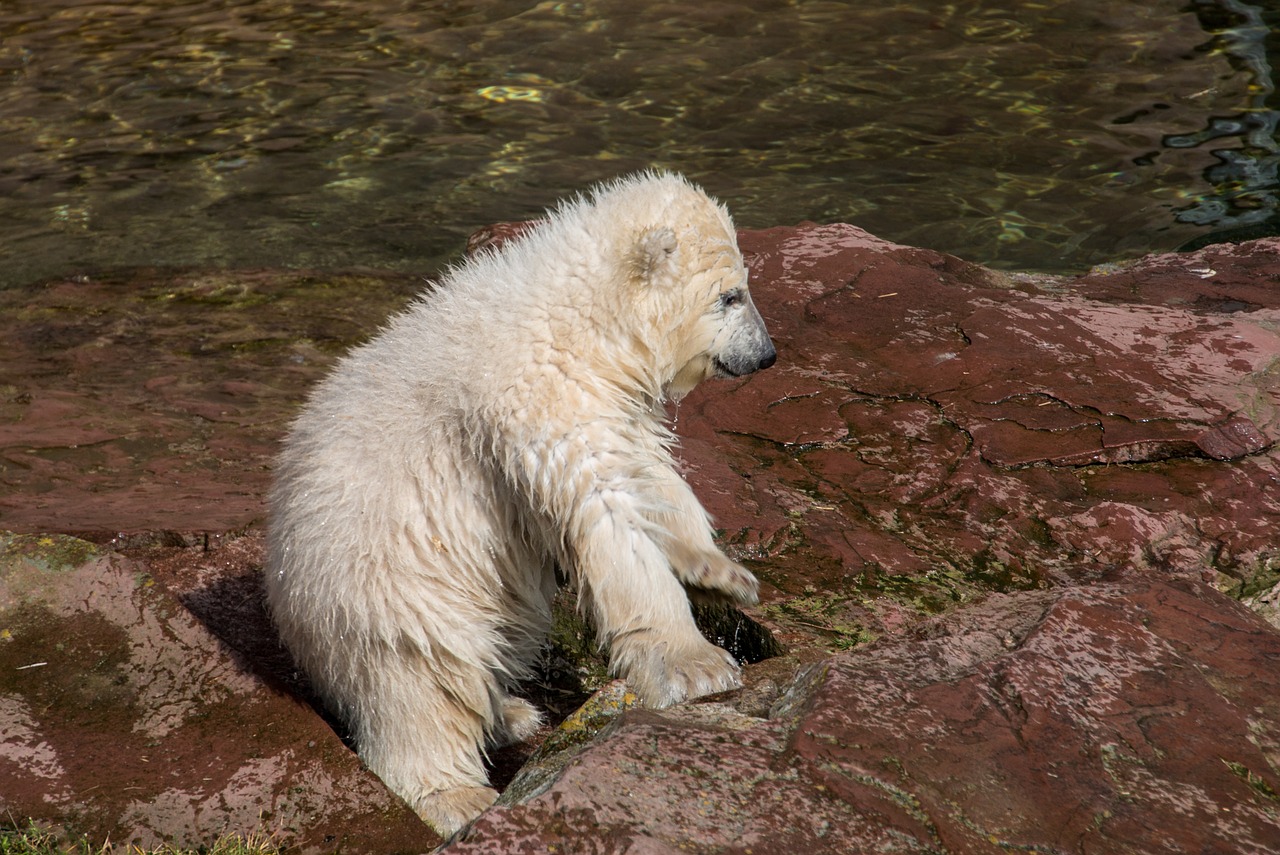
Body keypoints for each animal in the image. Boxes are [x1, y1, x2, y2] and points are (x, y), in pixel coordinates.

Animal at [264, 170, 773, 839]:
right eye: (730, 296)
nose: (767, 355)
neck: (581, 317)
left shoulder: (608, 398)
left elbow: (648, 473)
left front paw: (721, 573)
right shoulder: (541, 399)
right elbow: (607, 515)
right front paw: (698, 665)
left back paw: (511, 712)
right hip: (386, 587)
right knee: (423, 684)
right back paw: (457, 793)